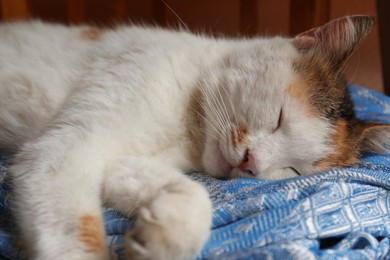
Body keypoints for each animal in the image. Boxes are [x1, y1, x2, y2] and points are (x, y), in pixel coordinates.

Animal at [0, 15, 386, 258]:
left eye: (293, 170)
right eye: (279, 118)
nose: (251, 164)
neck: (191, 129)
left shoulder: (119, 162)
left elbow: (195, 196)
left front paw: (161, 233)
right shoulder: (65, 150)